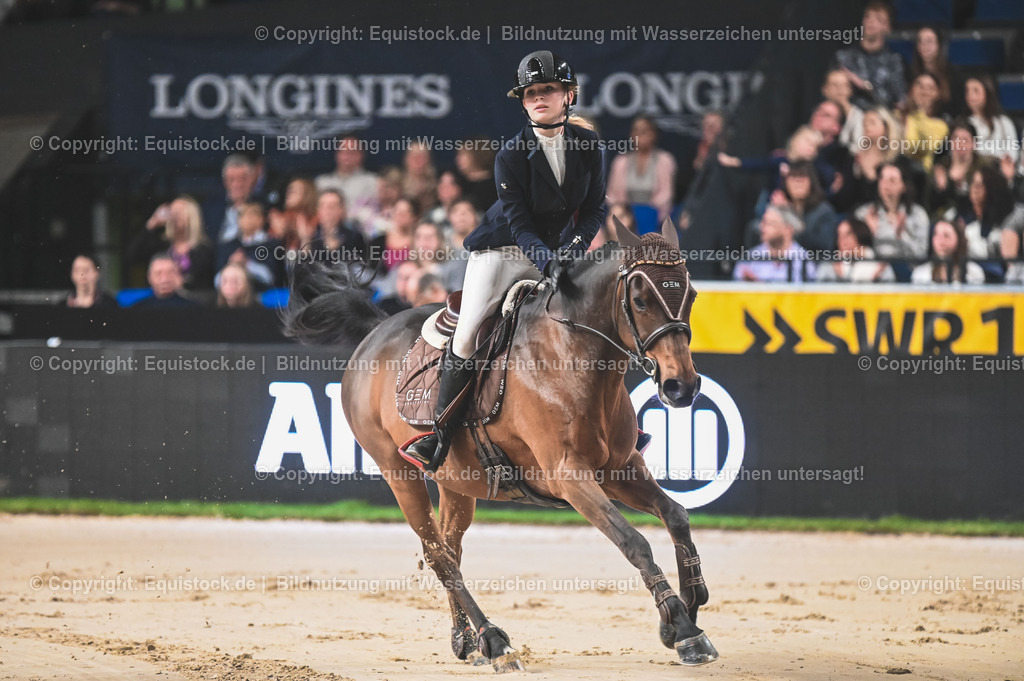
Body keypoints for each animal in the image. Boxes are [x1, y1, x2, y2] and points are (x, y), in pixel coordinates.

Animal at [283, 220, 718, 672]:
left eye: (691, 295)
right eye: (640, 299)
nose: (682, 387)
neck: (573, 356)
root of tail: (375, 332)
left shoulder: (620, 468)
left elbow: (676, 515)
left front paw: (689, 605)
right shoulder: (569, 477)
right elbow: (634, 542)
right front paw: (682, 627)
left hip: (457, 479)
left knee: (450, 546)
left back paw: (466, 639)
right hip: (397, 471)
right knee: (438, 555)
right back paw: (495, 642)